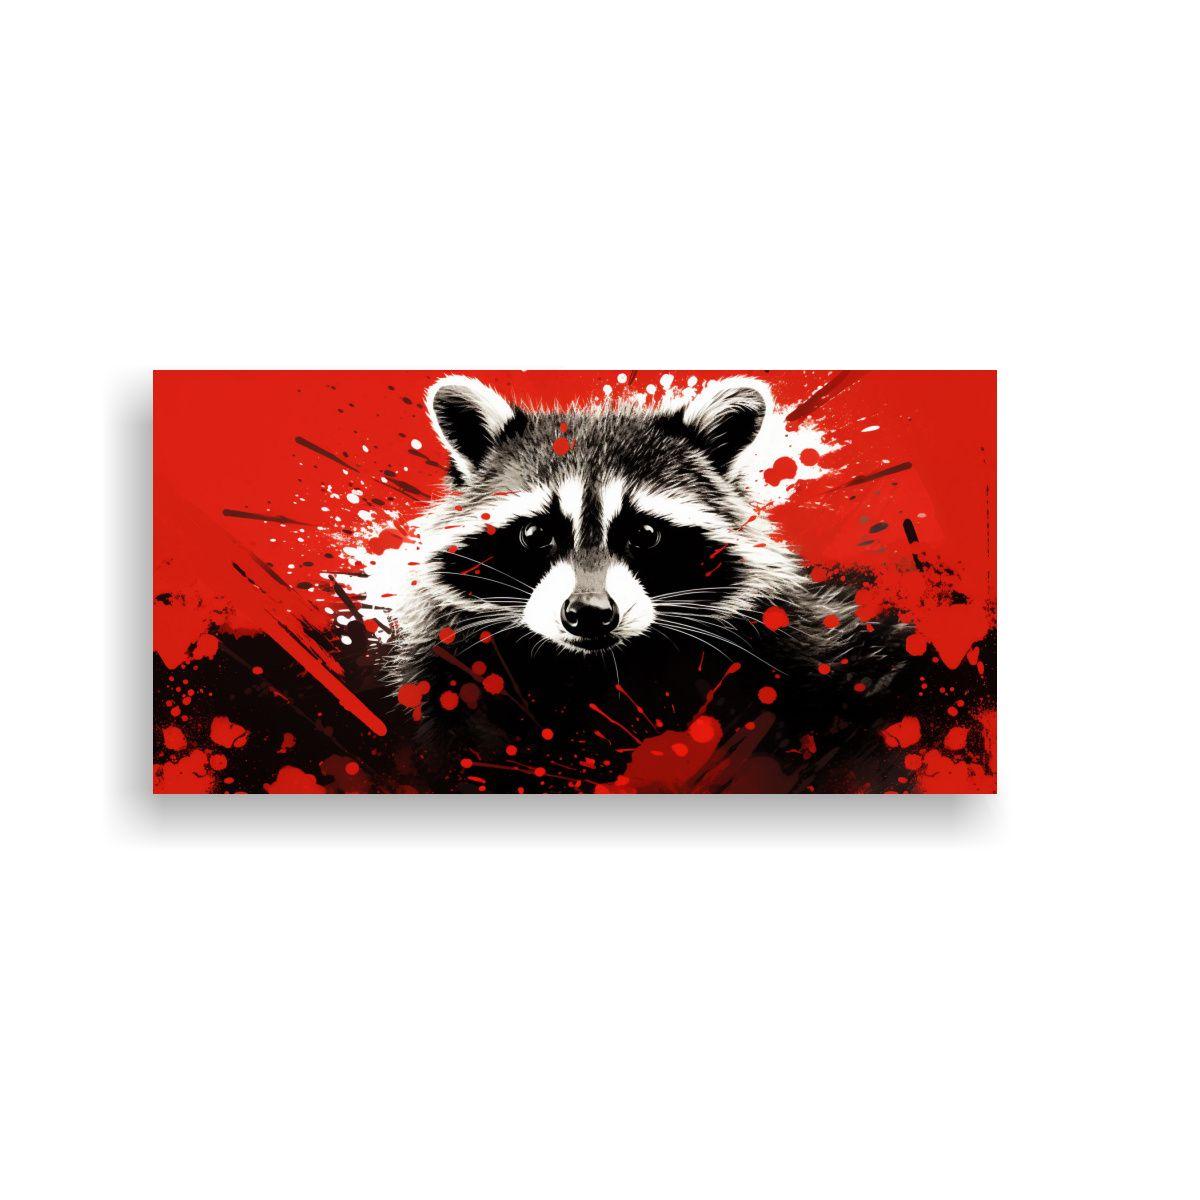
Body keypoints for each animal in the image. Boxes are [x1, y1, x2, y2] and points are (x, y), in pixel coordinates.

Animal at [382, 374, 938, 793]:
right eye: (536, 533)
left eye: (644, 534)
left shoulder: (798, 650)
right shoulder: (450, 672)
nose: (589, 614)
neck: (598, 670)